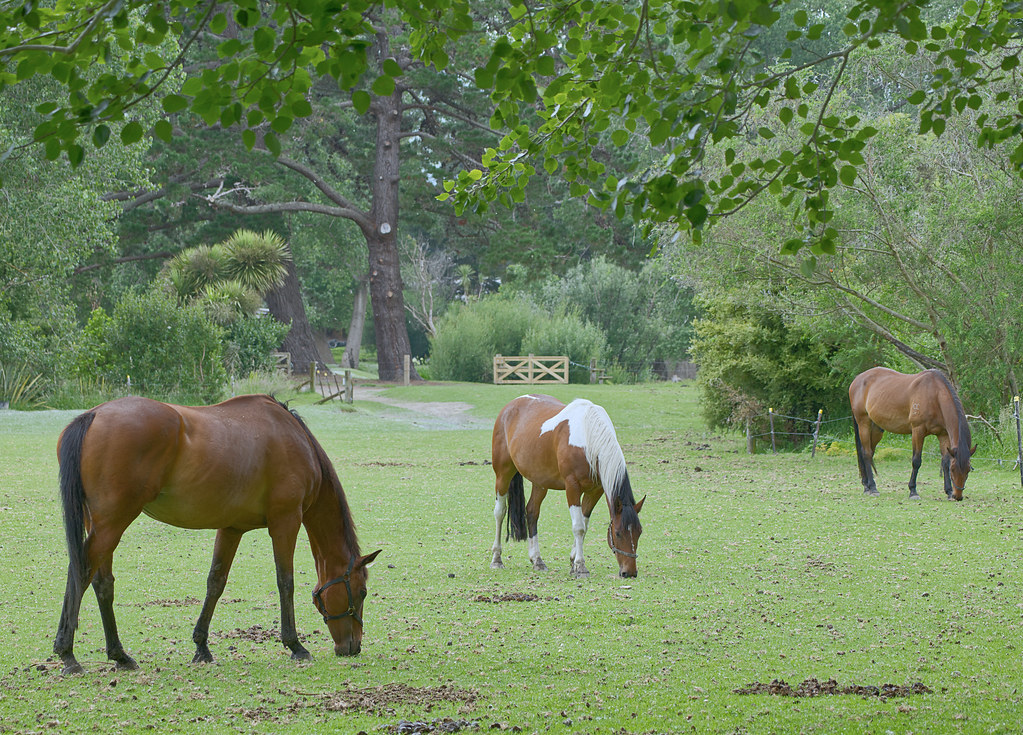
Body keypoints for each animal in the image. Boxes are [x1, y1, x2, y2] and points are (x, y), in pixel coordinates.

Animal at [53, 394, 380, 675]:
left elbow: (216, 582)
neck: (295, 439)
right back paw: (68, 654)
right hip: (113, 522)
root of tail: (93, 415)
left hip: (101, 523)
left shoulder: (231, 528)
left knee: (102, 582)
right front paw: (295, 645)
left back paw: (119, 655)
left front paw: (202, 647)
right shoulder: (286, 521)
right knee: (82, 572)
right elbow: (285, 582)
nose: (353, 646)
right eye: (362, 592)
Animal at [490, 394, 644, 577]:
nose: (630, 572)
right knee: (500, 512)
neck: (588, 436)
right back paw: (497, 559)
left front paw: (573, 561)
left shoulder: (595, 491)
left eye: (639, 532)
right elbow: (578, 527)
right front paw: (580, 566)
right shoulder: (572, 487)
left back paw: (537, 560)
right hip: (503, 475)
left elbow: (584, 524)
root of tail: (510, 406)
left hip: (540, 482)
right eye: (618, 533)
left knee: (532, 512)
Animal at [849, 367, 975, 500]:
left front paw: (949, 491)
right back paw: (873, 488)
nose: (958, 496)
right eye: (953, 469)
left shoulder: (943, 435)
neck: (934, 395)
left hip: (876, 429)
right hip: (863, 424)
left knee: (868, 453)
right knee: (866, 454)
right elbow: (916, 461)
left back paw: (866, 486)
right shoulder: (918, 431)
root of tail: (858, 379)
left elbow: (945, 462)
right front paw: (913, 491)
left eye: (968, 470)